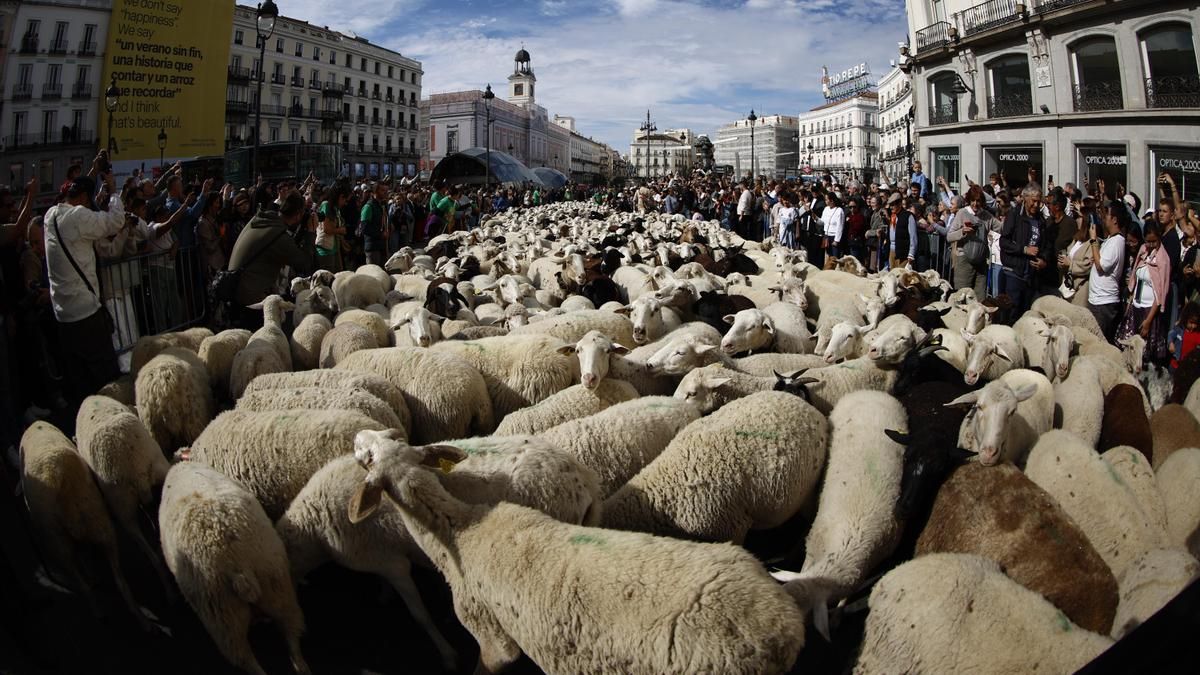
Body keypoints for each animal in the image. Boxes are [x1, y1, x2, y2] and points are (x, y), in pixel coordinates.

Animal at [20, 422, 148, 629]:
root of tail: (58, 476)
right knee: (120, 581)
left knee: (82, 584)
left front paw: (92, 575)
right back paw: (143, 621)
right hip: (99, 521)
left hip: (57, 539)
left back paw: (98, 612)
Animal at [159, 461, 309, 675]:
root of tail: (235, 563)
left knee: (245, 659)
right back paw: (301, 666)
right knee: (291, 635)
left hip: (222, 617)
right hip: (275, 586)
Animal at [277, 433, 604, 670]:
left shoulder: (388, 561)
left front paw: (448, 656)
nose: (358, 436)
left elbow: (419, 614)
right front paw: (383, 594)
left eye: (368, 457)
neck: (314, 530)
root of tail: (585, 481)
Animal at [769, 391, 906, 639]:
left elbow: (845, 598)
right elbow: (805, 569)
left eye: (802, 614)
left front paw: (837, 616)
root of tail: (871, 393)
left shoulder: (864, 568)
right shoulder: (813, 547)